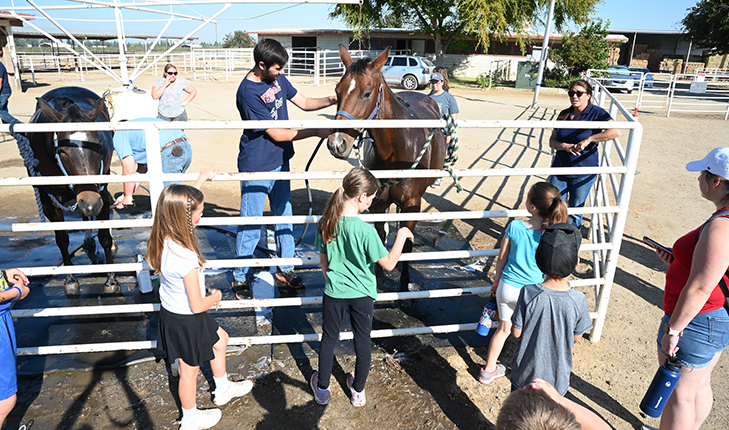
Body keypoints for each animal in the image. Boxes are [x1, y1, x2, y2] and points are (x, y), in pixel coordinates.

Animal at [25, 87, 117, 296]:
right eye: (62, 151)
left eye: (99, 144)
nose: (90, 201)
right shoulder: (49, 200)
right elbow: (61, 239)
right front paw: (70, 280)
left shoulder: (101, 192)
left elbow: (105, 237)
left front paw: (111, 279)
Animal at [328, 45, 444, 290]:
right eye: (337, 91)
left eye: (367, 93)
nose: (337, 143)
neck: (396, 152)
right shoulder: (378, 204)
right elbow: (380, 234)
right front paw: (379, 273)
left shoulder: (412, 204)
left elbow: (407, 242)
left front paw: (404, 283)